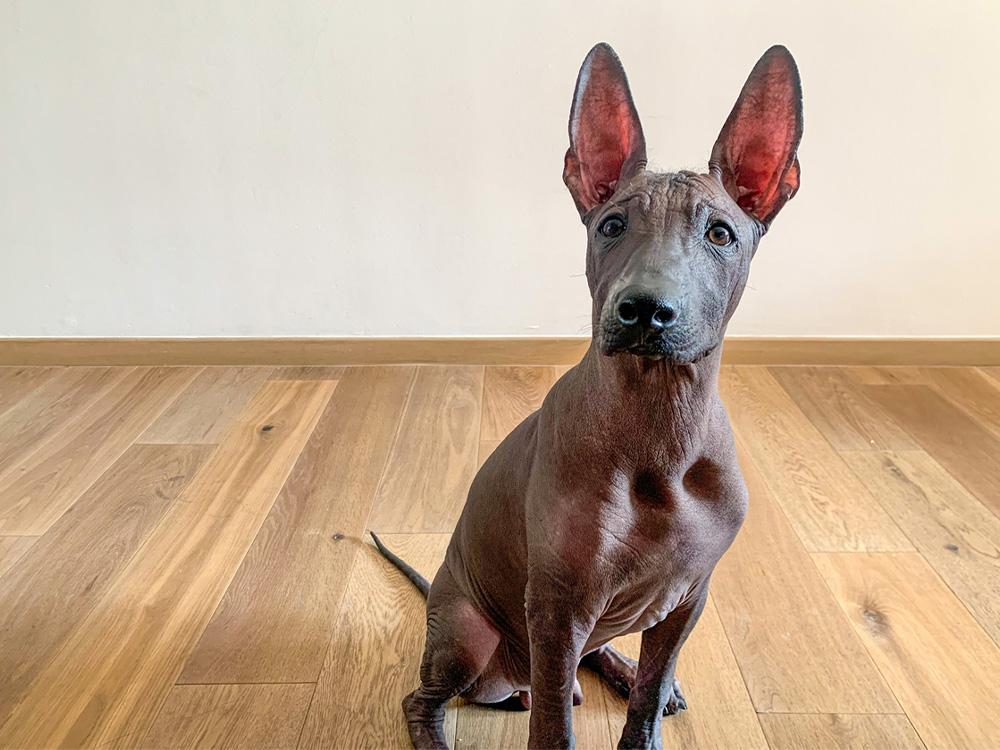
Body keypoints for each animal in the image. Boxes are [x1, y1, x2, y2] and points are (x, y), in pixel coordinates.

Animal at [376, 42, 804, 750]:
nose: (645, 309)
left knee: (600, 658)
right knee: (427, 699)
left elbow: (651, 694)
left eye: (720, 233)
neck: (659, 429)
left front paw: (648, 699)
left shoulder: (688, 598)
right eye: (611, 225)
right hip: (467, 631)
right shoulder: (558, 606)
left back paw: (624, 670)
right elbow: (553, 722)